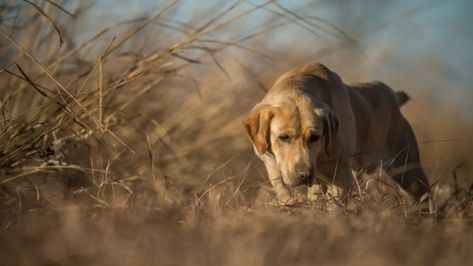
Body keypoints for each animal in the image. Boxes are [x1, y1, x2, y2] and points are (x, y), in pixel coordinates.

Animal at [243, 62, 432, 206]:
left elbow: (335, 207)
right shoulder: (272, 166)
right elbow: (285, 192)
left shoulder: (341, 177)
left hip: (409, 172)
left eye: (315, 137)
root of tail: (394, 96)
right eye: (284, 138)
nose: (304, 175)